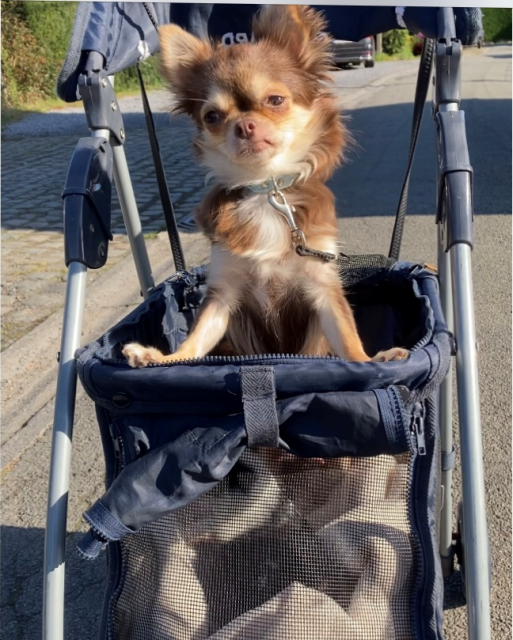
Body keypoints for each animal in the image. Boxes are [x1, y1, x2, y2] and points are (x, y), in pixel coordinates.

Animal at [123, 5, 408, 367]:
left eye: (275, 100)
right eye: (212, 117)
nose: (244, 125)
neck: (266, 189)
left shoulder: (322, 286)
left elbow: (347, 338)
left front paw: (372, 361)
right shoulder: (223, 292)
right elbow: (197, 339)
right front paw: (162, 359)